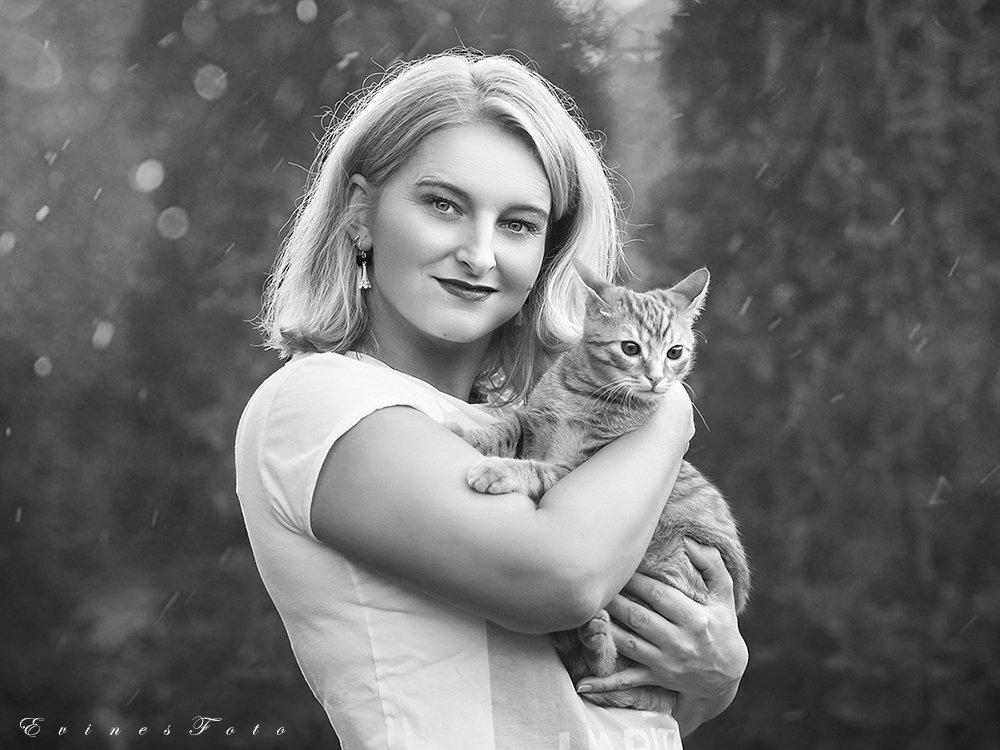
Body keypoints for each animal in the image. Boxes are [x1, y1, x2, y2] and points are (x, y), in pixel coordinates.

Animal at [454, 260, 750, 715]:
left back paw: (597, 644)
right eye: (630, 348)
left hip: (661, 564)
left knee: (604, 671)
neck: (584, 394)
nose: (656, 379)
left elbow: (537, 469)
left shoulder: (580, 467)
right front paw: (469, 433)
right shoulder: (532, 422)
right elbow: (507, 427)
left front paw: (498, 471)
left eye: (675, 353)